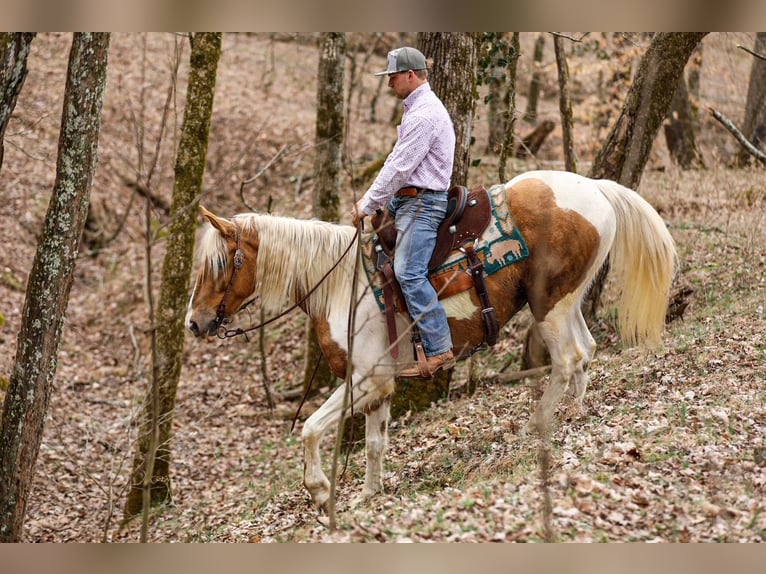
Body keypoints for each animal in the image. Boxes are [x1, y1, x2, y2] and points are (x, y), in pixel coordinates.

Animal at [185, 170, 677, 511]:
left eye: (215, 266)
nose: (194, 323)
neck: (341, 284)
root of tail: (594, 188)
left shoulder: (366, 378)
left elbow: (310, 428)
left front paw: (321, 491)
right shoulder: (380, 385)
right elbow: (375, 443)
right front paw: (369, 494)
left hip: (550, 305)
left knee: (569, 357)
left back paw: (537, 425)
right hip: (564, 301)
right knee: (586, 351)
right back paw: (573, 413)